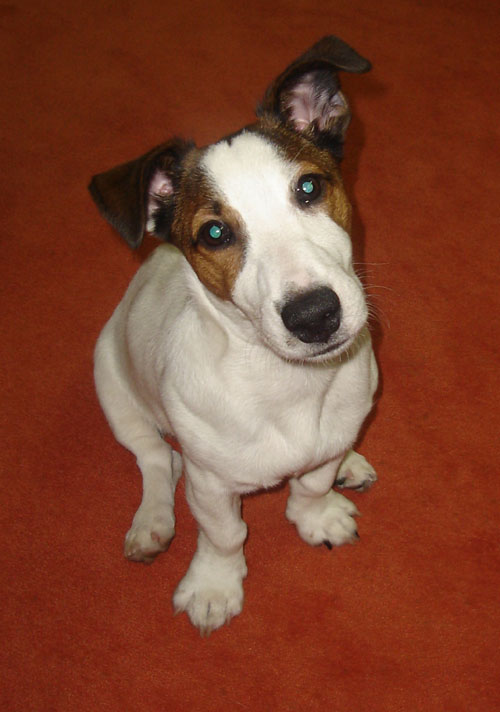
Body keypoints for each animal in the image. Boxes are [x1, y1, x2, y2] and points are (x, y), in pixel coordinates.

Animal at [89, 35, 378, 635]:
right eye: (215, 233)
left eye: (309, 186)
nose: (315, 316)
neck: (287, 382)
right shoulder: (211, 483)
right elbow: (224, 533)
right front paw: (214, 585)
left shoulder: (330, 433)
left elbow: (311, 482)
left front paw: (316, 513)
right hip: (112, 383)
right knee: (156, 458)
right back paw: (151, 521)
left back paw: (351, 463)